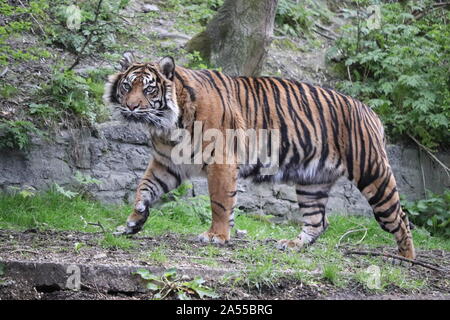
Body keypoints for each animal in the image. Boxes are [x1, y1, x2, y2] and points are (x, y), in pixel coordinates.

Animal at [103, 52, 416, 260]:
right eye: (127, 86)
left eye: (148, 88)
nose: (131, 107)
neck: (168, 125)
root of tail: (370, 111)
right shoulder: (166, 163)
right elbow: (144, 188)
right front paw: (132, 222)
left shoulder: (221, 161)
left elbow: (219, 202)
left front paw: (216, 236)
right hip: (313, 182)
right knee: (318, 222)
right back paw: (292, 245)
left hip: (374, 176)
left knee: (400, 218)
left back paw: (405, 258)